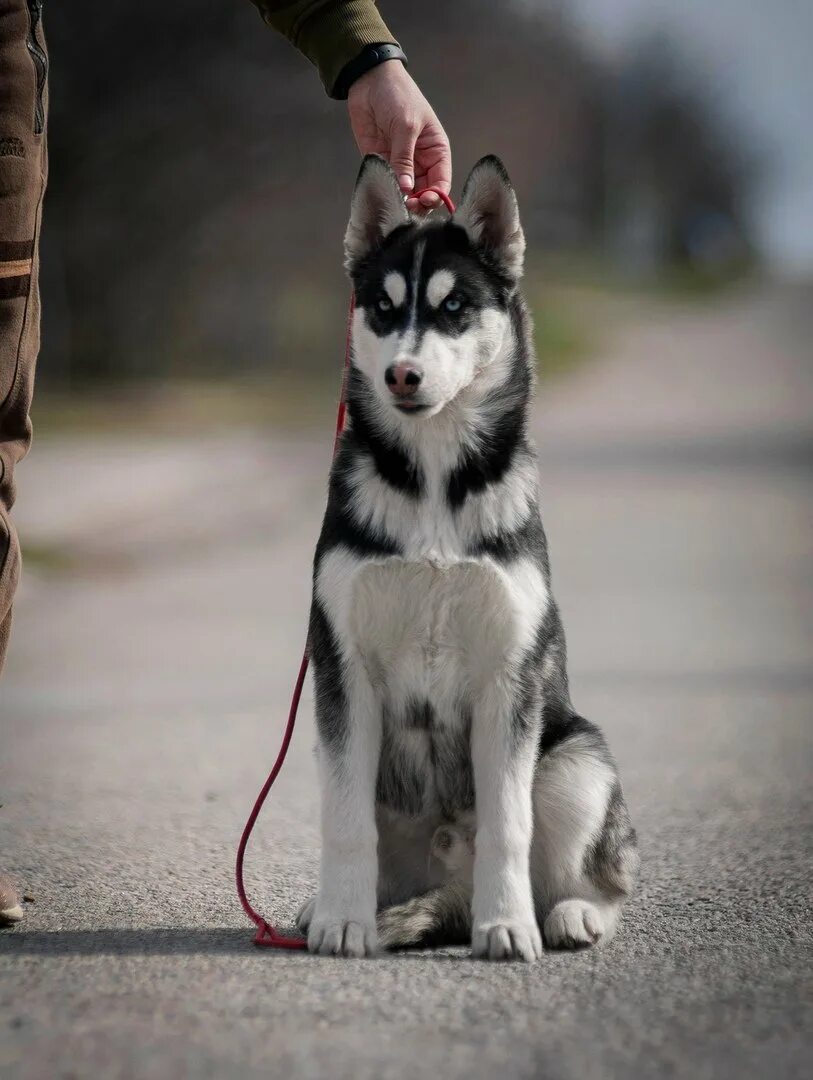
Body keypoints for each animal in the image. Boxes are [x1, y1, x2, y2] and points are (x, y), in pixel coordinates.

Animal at [295, 156, 639, 959]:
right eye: (383, 309)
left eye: (453, 308)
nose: (401, 375)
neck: (431, 483)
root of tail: (445, 888)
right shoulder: (343, 672)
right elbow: (345, 825)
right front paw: (342, 920)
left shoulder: (509, 677)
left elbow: (508, 827)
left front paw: (506, 924)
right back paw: (341, 908)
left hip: (574, 759)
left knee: (599, 875)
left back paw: (569, 913)